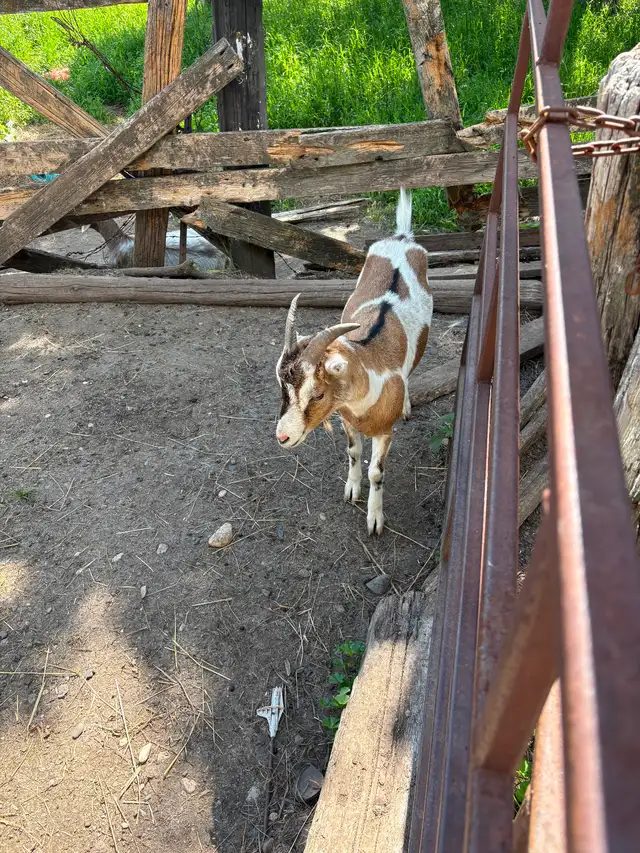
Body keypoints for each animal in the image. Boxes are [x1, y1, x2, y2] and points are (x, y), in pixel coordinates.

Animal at [275, 188, 433, 535]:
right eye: (283, 389)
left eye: (318, 393)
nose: (283, 437)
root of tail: (402, 237)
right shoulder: (346, 419)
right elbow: (353, 451)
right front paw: (351, 489)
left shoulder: (385, 432)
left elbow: (377, 471)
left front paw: (374, 519)